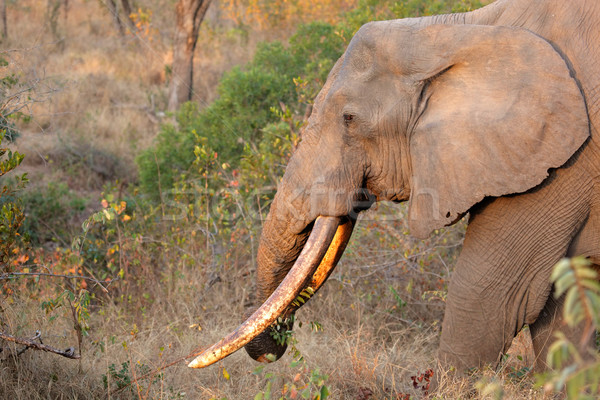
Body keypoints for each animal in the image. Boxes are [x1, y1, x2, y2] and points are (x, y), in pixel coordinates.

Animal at [189, 0, 600, 378]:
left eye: (349, 119)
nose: (272, 349)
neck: (459, 30)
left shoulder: (563, 162)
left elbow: (489, 294)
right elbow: (563, 307)